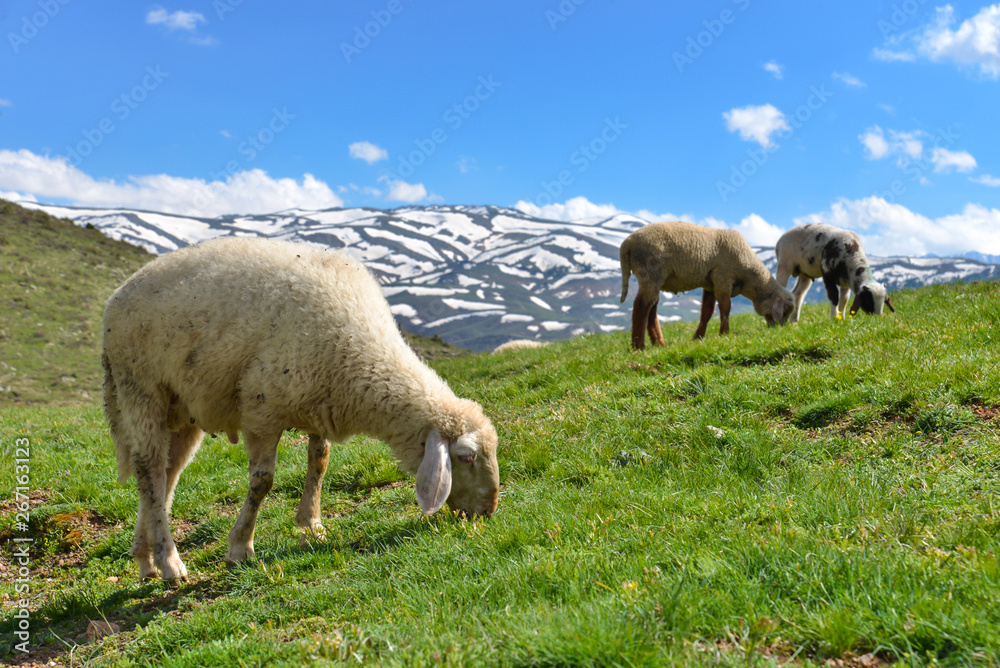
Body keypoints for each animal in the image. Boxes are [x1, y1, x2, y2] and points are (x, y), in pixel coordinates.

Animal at [102, 236, 500, 582]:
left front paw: (311, 524)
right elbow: (262, 482)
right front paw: (240, 547)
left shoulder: (318, 404)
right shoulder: (261, 409)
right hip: (141, 388)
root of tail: (117, 295)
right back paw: (169, 562)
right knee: (149, 471)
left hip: (183, 410)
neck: (361, 356)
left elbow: (319, 462)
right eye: (465, 456)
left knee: (166, 476)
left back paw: (145, 558)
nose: (488, 512)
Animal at [619, 221, 795, 349]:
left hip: (654, 279)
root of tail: (627, 244)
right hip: (650, 273)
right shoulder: (723, 278)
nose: (779, 329)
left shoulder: (710, 284)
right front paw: (725, 333)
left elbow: (707, 312)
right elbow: (725, 308)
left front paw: (698, 337)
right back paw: (638, 346)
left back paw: (659, 344)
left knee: (651, 311)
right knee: (641, 307)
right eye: (785, 311)